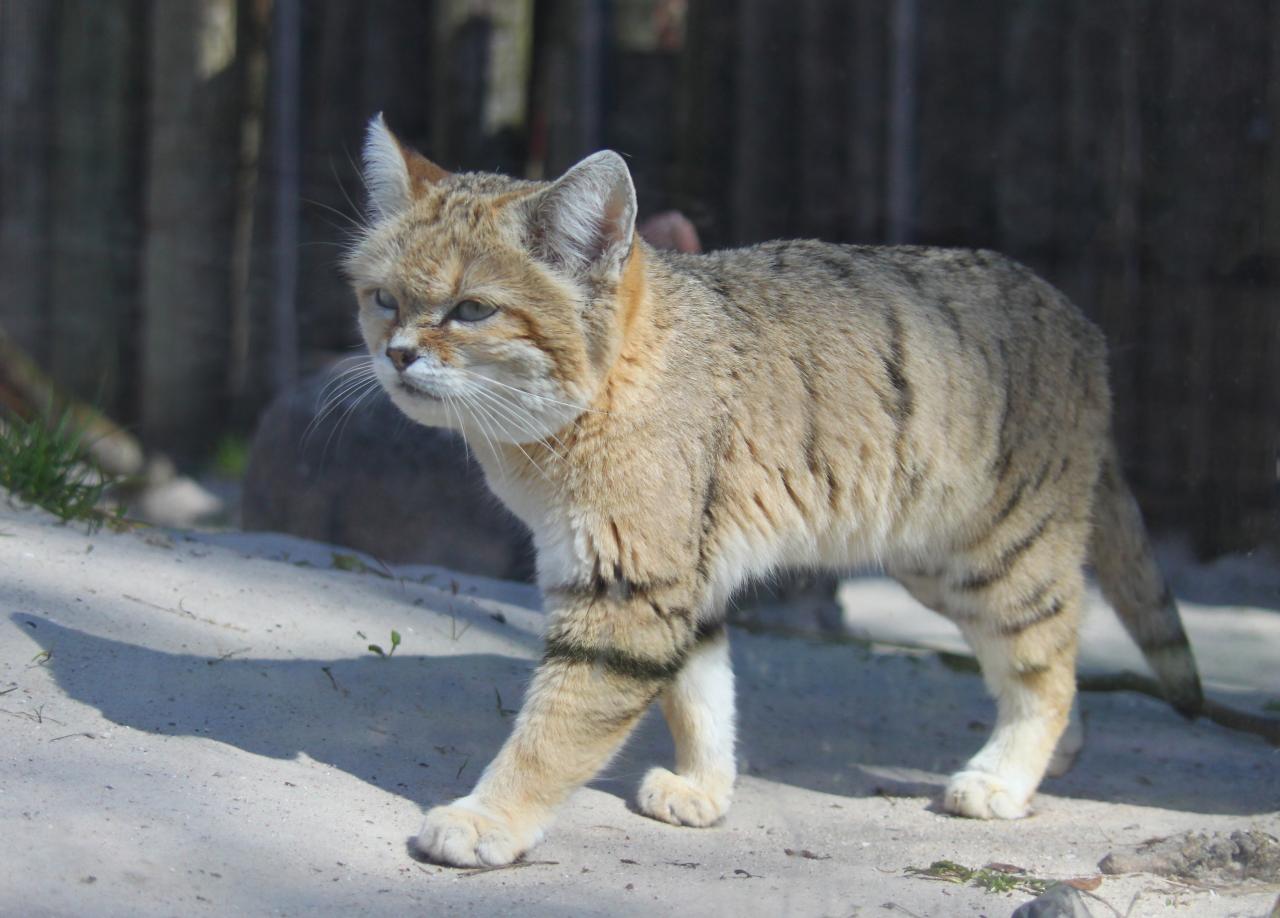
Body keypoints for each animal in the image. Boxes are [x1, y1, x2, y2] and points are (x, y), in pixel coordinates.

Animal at [345, 114, 1203, 865]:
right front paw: (704, 786)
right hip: (938, 565)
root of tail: (1083, 329)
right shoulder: (684, 578)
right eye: (384, 299)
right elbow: (701, 694)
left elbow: (556, 726)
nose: (397, 354)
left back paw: (1004, 777)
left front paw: (488, 817)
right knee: (1057, 653)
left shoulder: (626, 588)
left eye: (472, 309)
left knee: (1049, 667)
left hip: (999, 557)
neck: (613, 383)